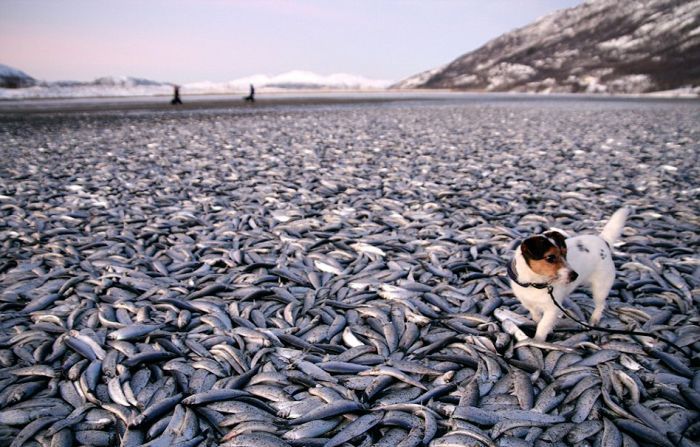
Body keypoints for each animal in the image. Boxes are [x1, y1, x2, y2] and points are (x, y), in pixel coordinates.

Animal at [506, 208, 632, 342]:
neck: (535, 283)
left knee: (601, 305)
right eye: (550, 257)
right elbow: (537, 318)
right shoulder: (529, 304)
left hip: (601, 287)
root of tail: (603, 241)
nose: (575, 276)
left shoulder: (552, 309)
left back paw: (594, 320)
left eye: (565, 254)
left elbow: (542, 326)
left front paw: (537, 341)